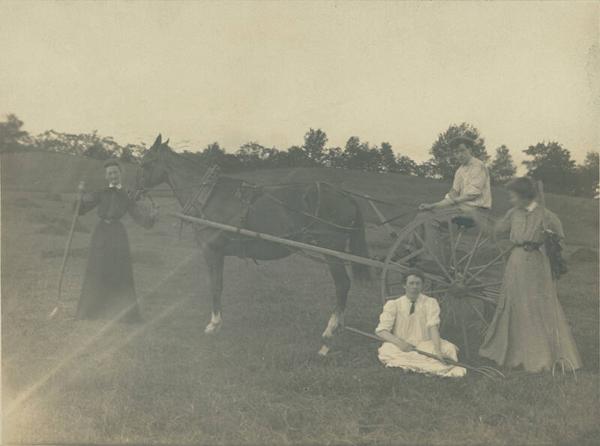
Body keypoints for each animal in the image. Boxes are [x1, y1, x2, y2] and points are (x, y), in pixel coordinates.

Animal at [137, 134, 370, 354]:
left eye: (145, 163)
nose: (132, 191)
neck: (209, 195)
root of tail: (346, 196)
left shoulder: (212, 251)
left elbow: (216, 285)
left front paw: (214, 324)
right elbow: (219, 284)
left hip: (331, 249)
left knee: (342, 284)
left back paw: (328, 335)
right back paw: (338, 327)